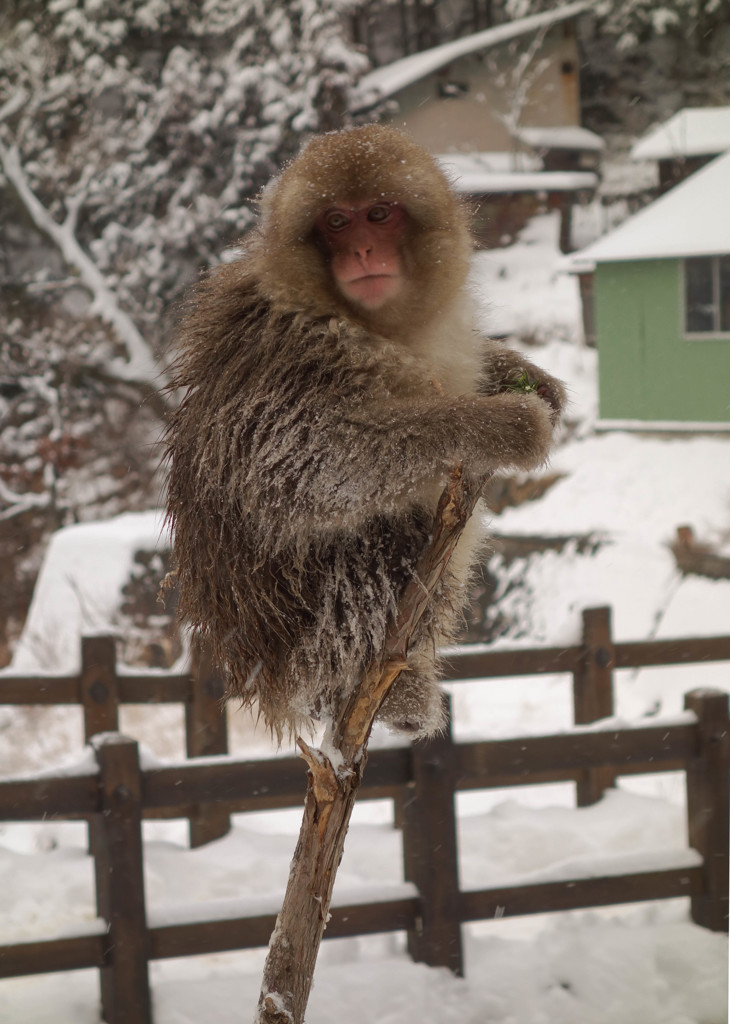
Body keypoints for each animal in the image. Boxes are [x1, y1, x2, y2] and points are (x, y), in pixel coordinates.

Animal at [162, 123, 565, 741]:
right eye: (336, 222)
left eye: (378, 214)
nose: (363, 251)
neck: (370, 324)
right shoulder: (290, 354)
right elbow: (293, 472)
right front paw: (499, 424)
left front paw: (529, 378)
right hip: (303, 647)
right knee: (383, 536)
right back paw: (375, 694)